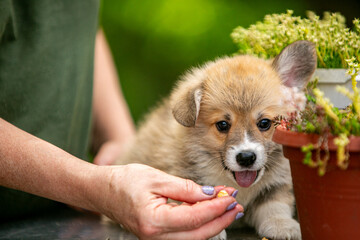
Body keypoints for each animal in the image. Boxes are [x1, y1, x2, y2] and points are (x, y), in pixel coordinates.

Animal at [116, 40, 316, 239]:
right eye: (222, 125)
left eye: (265, 123)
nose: (246, 158)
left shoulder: (277, 185)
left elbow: (275, 204)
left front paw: (282, 225)